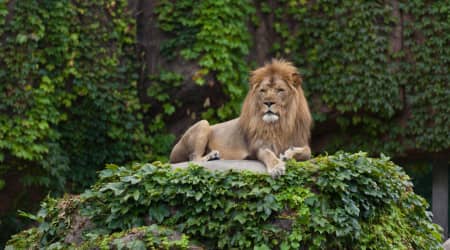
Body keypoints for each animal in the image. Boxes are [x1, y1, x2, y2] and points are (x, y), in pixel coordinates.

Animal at [170, 59, 312, 177]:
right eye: (263, 91)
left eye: (280, 90)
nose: (268, 102)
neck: (279, 124)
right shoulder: (258, 146)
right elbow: (268, 154)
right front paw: (276, 167)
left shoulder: (300, 141)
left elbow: (307, 151)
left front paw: (288, 154)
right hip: (203, 123)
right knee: (193, 159)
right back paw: (212, 156)